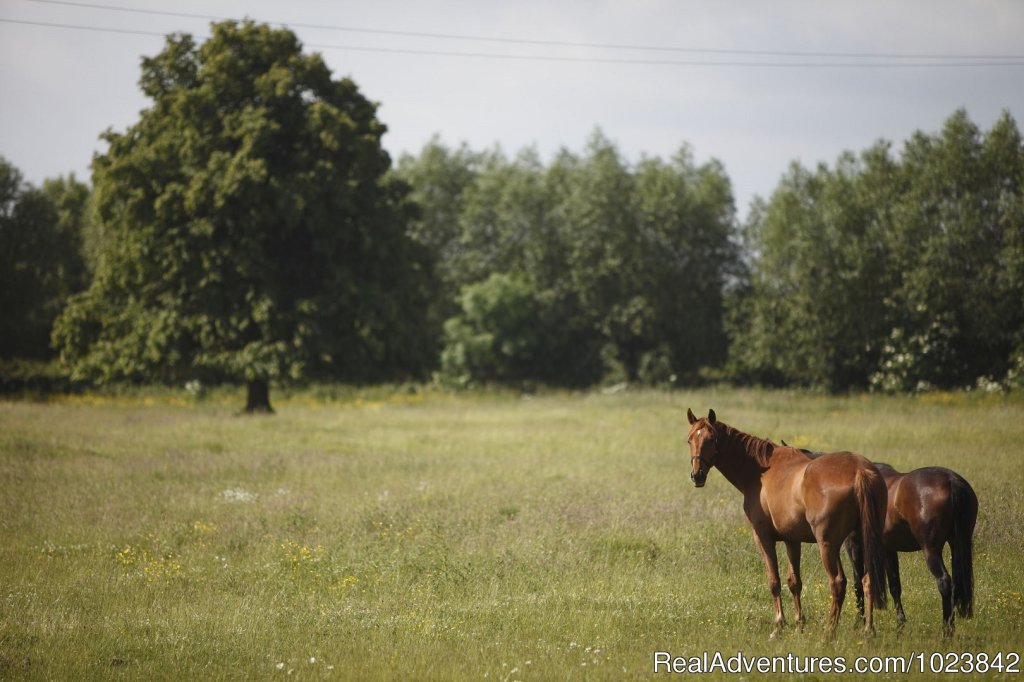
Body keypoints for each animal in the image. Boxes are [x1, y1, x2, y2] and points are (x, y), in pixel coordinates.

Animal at [688, 405, 888, 634]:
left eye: (713, 439)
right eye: (690, 439)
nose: (697, 475)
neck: (761, 471)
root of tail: (860, 471)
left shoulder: (763, 537)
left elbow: (773, 581)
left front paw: (779, 624)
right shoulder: (792, 540)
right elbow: (794, 582)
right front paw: (799, 623)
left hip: (828, 544)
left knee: (838, 583)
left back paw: (828, 633)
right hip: (863, 539)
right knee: (868, 580)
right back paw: (868, 630)